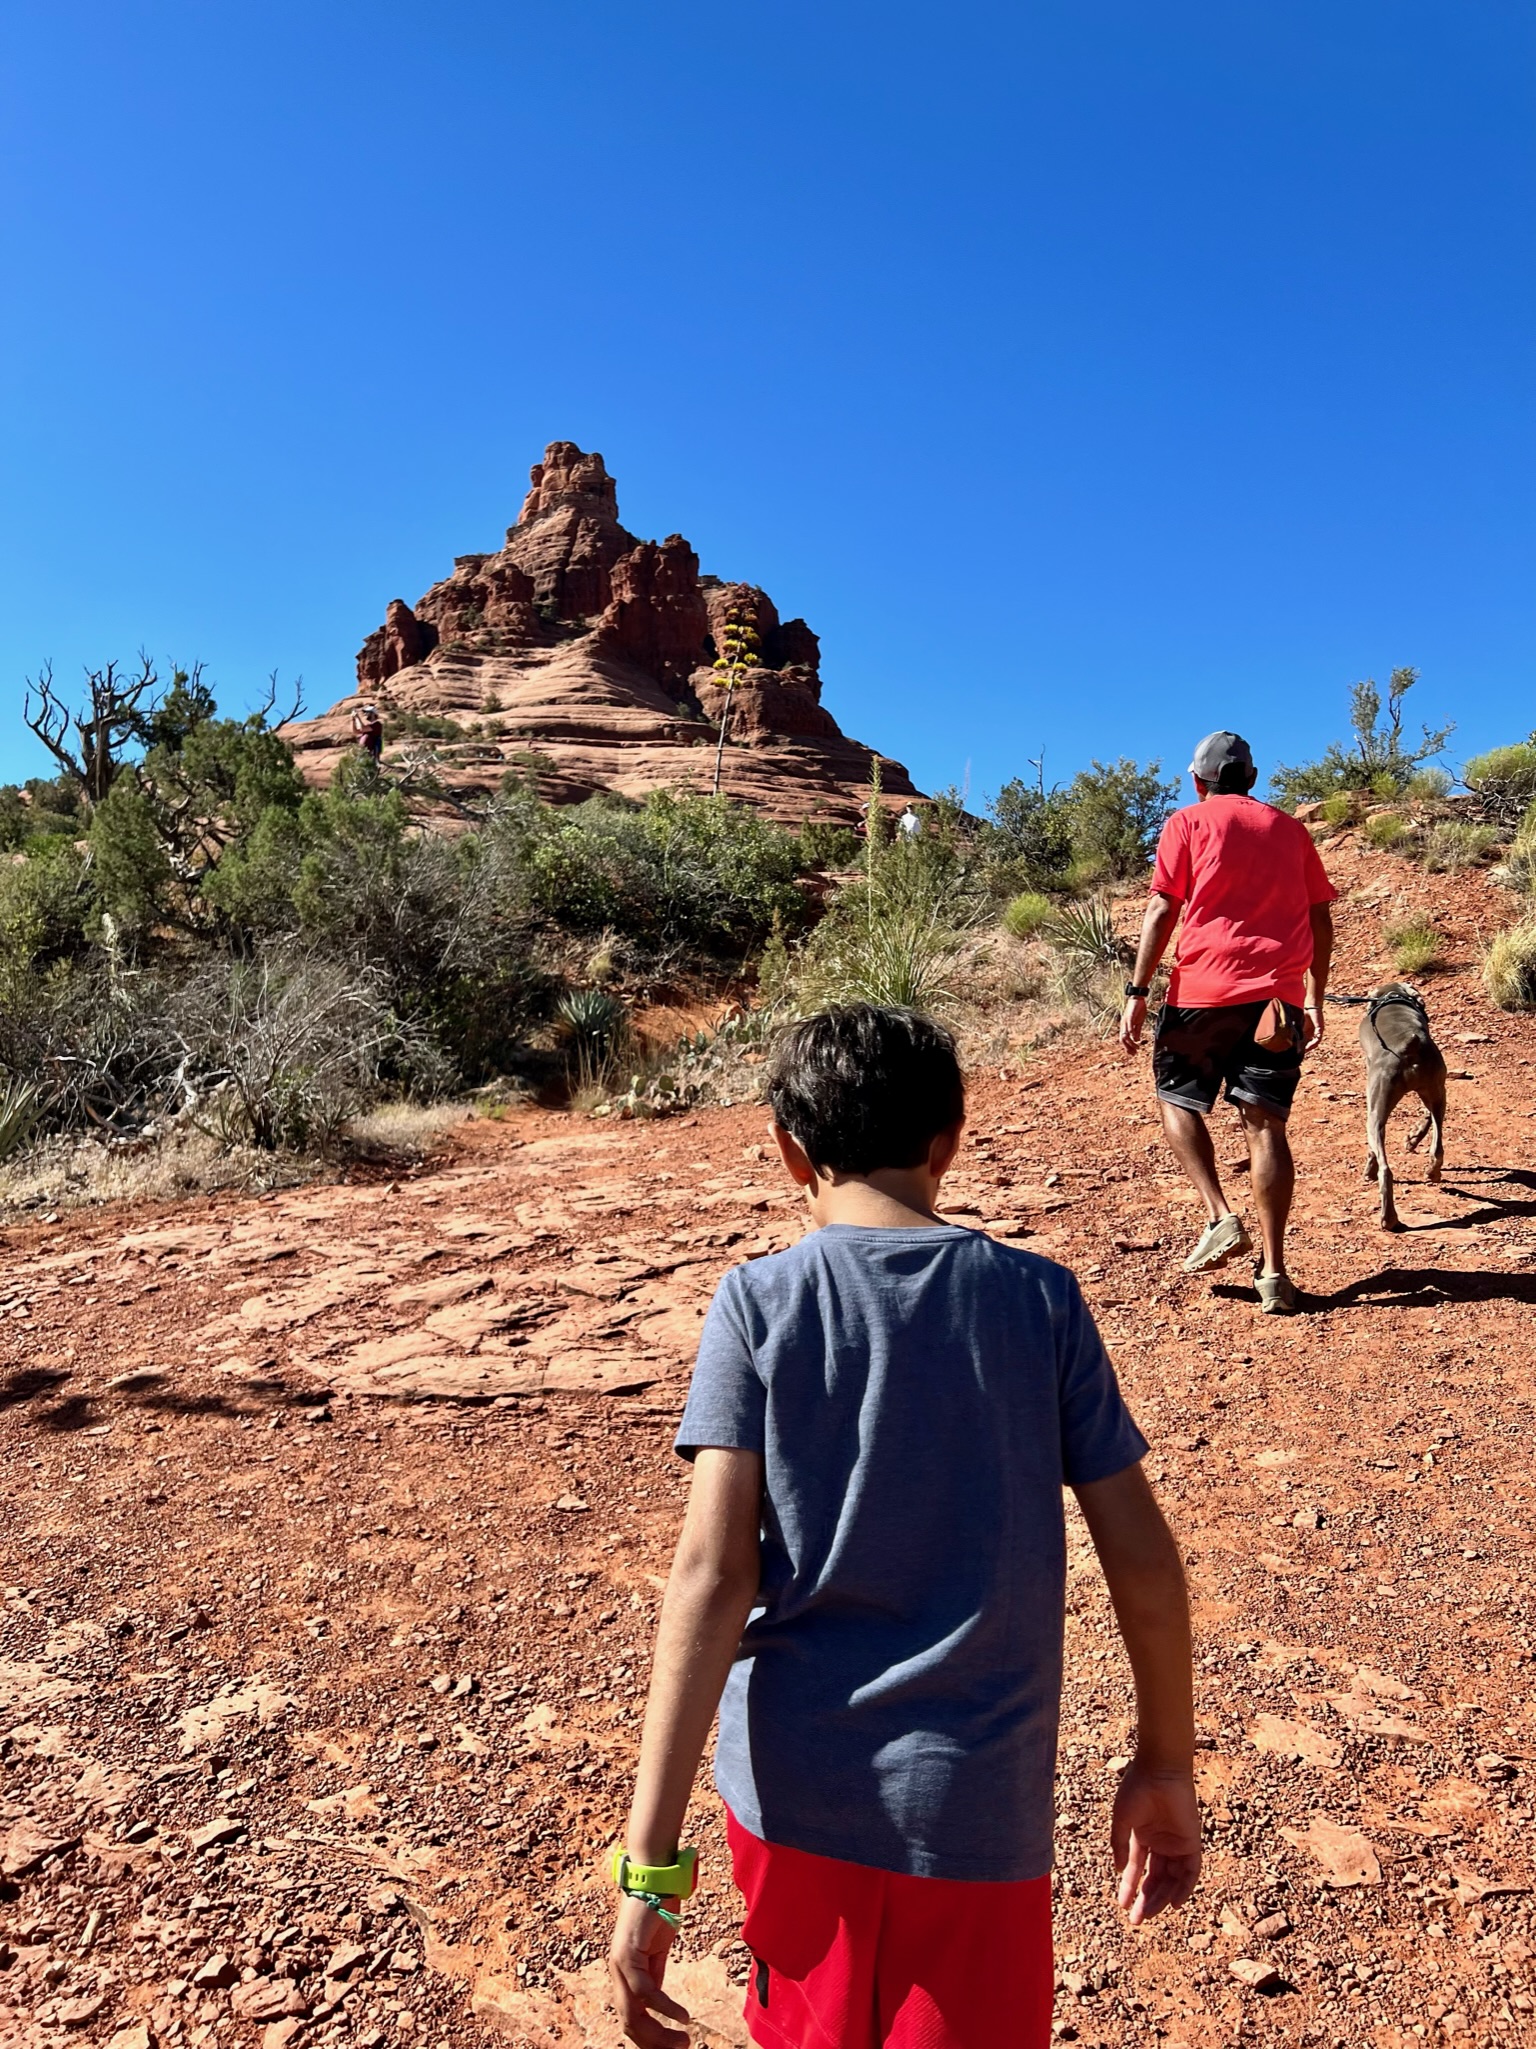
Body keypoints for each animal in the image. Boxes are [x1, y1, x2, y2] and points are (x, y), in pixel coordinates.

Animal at [1368, 979, 1449, 1229]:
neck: (1393, 995)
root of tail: (1410, 1045)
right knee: (1437, 1146)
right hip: (1437, 1088)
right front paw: (1413, 1138)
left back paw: (1388, 1218)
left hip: (1375, 1110)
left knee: (1386, 1169)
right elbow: (1426, 1116)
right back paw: (1432, 1173)